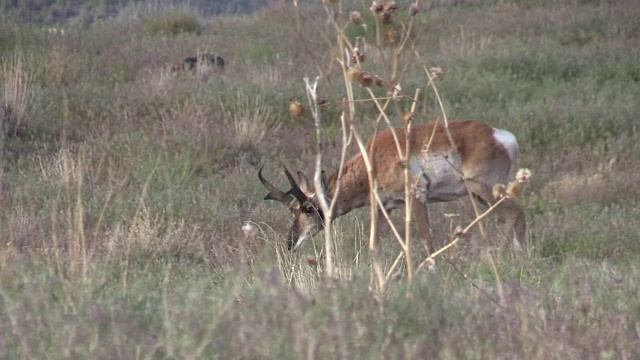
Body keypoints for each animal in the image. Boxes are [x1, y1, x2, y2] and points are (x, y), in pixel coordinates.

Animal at [258, 119, 528, 252]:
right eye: (292, 210)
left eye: (309, 209)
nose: (290, 243)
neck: (373, 160)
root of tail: (502, 136)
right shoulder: (384, 206)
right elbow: (374, 242)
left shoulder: (416, 197)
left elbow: (426, 239)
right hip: (480, 196)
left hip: (483, 188)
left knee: (517, 213)